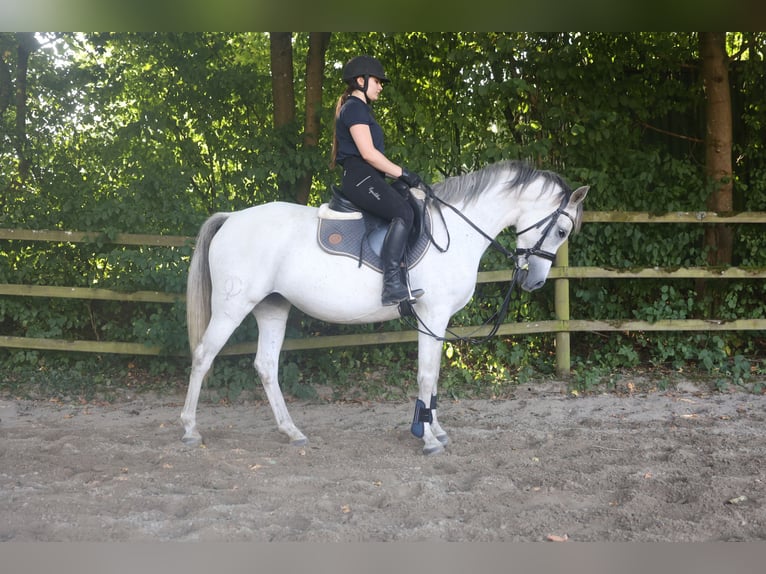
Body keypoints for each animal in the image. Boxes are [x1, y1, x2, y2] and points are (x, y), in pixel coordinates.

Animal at [180, 161, 588, 454]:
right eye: (562, 231)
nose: (534, 282)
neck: (458, 232)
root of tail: (232, 218)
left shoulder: (437, 321)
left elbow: (434, 376)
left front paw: (434, 428)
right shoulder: (432, 315)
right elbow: (426, 375)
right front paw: (427, 438)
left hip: (272, 307)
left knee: (266, 366)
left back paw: (291, 431)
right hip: (232, 307)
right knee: (202, 356)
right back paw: (189, 430)